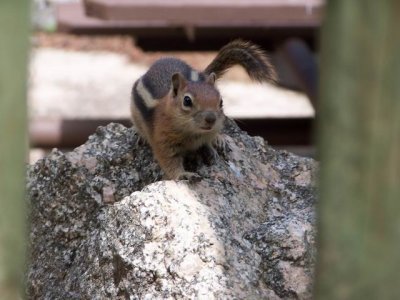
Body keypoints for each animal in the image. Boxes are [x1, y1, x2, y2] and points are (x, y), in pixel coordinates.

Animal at [130, 39, 276, 180]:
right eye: (187, 101)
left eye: (221, 101)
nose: (211, 118)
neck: (193, 133)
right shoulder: (163, 142)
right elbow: (169, 161)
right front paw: (182, 174)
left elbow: (207, 142)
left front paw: (212, 147)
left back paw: (218, 140)